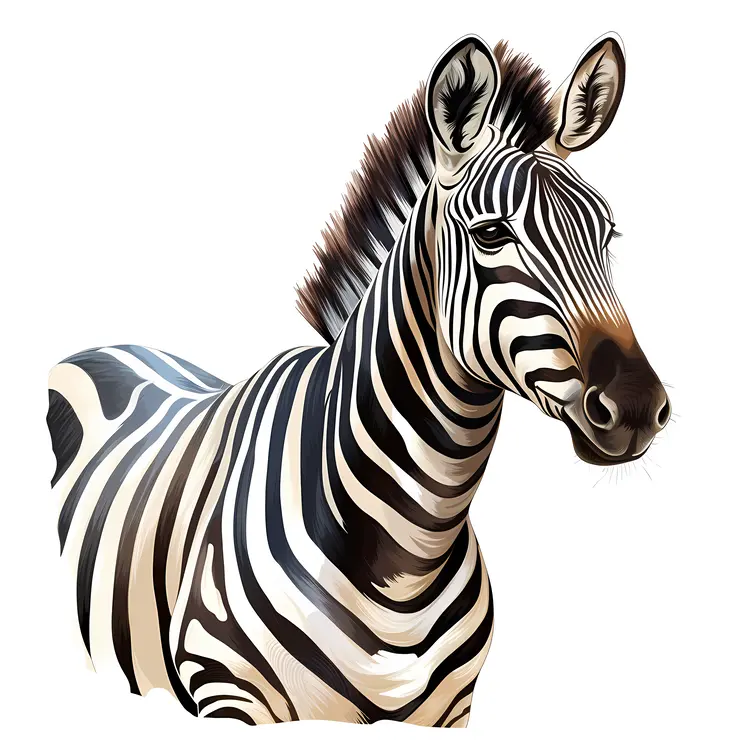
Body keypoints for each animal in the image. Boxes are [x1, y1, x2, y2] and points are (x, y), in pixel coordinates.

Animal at [46, 32, 670, 728]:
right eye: (491, 234)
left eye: (607, 233)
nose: (637, 405)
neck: (406, 558)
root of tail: (105, 346)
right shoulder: (226, 690)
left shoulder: (451, 712)